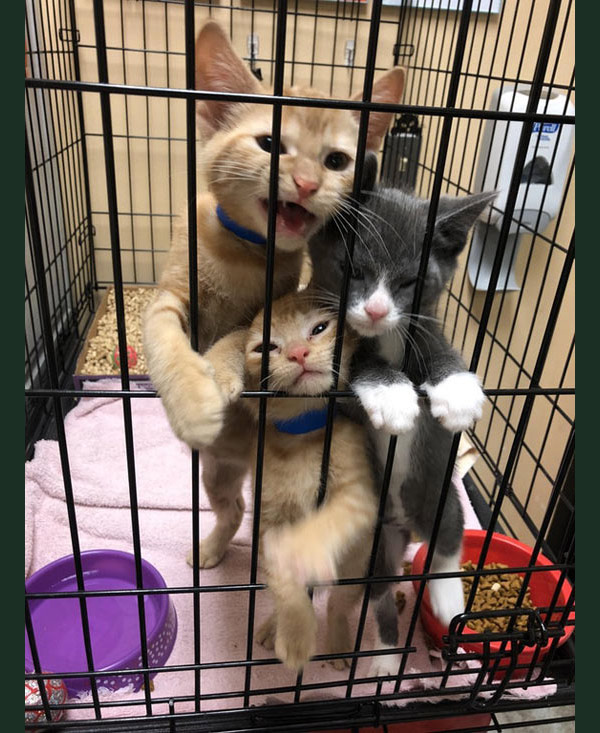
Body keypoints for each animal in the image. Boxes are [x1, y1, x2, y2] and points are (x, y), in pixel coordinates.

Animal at [141, 17, 404, 568]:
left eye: (336, 160)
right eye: (269, 144)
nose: (305, 183)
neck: (245, 253)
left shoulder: (265, 309)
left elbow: (235, 338)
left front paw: (217, 374)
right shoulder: (170, 296)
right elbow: (163, 336)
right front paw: (193, 400)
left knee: (240, 508)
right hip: (215, 471)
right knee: (233, 507)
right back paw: (211, 547)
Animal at [204, 292, 378, 668]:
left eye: (319, 328)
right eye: (265, 347)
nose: (298, 352)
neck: (302, 435)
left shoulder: (358, 494)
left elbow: (326, 523)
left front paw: (300, 549)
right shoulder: (269, 518)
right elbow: (283, 581)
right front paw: (295, 632)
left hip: (357, 568)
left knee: (338, 604)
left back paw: (339, 643)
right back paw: (272, 625)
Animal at [308, 160, 494, 676]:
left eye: (411, 282)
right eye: (354, 270)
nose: (375, 309)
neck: (387, 337)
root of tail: (402, 526)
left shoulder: (422, 324)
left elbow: (437, 344)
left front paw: (457, 391)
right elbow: (357, 364)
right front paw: (393, 396)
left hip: (439, 495)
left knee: (447, 541)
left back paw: (449, 601)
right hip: (372, 544)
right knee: (380, 592)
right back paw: (387, 657)